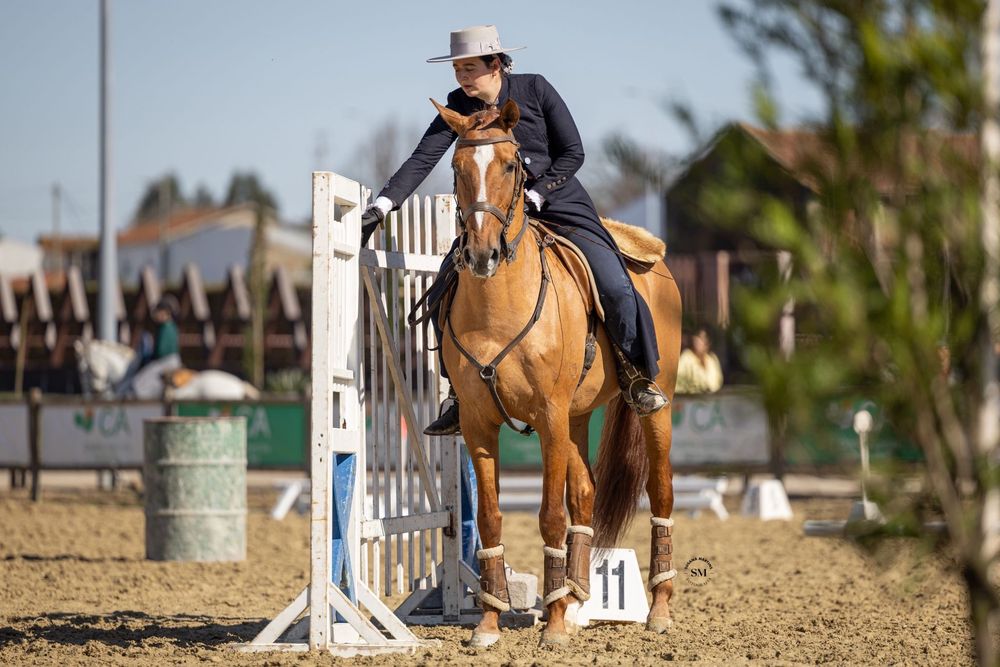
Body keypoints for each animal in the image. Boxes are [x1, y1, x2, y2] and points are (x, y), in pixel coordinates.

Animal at [430, 99, 682, 647]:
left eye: (511, 166)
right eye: (457, 169)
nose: (482, 255)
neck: (498, 306)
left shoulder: (548, 416)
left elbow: (548, 516)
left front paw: (556, 626)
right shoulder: (480, 424)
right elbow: (492, 518)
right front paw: (489, 624)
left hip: (653, 409)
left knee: (661, 491)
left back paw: (658, 609)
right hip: (577, 416)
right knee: (585, 495)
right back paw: (578, 596)